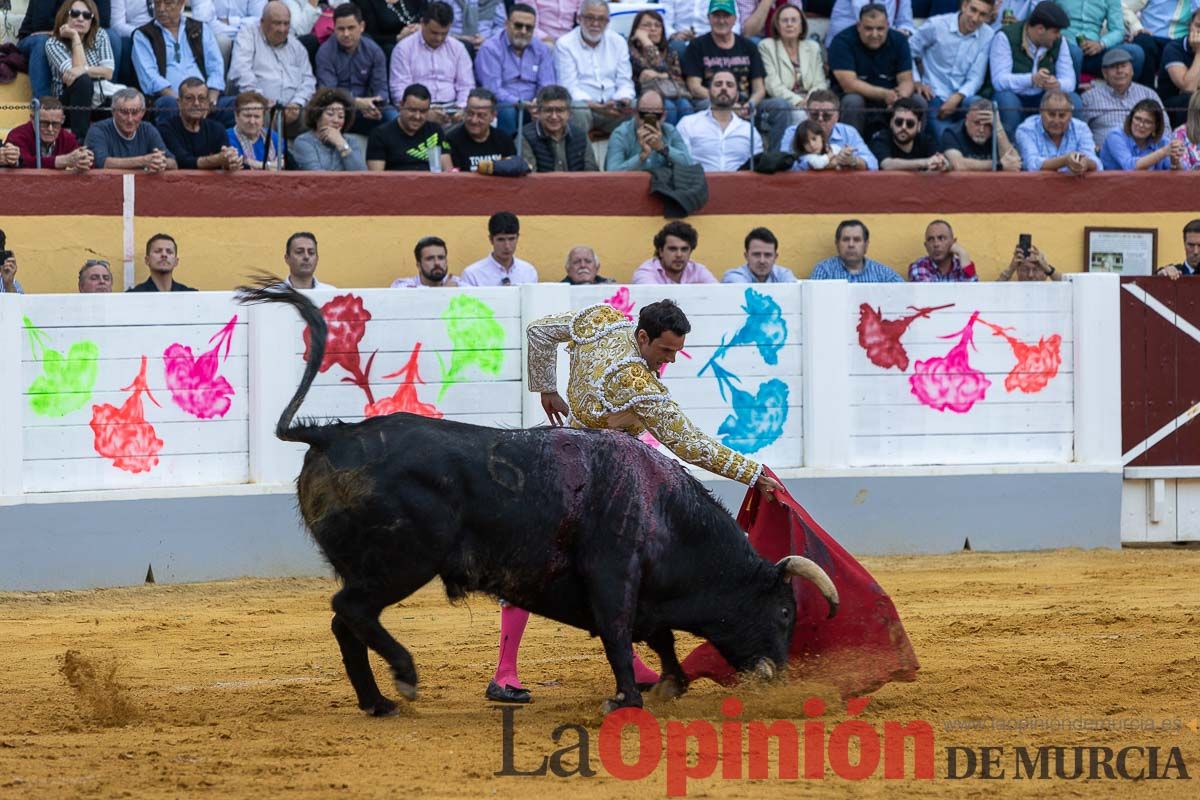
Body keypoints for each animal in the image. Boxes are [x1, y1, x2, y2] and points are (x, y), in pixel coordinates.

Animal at [234, 281, 835, 714]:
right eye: (785, 610)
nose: (779, 675)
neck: (663, 512)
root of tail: (331, 436)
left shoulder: (639, 591)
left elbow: (657, 637)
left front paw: (666, 684)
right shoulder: (612, 575)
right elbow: (620, 633)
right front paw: (628, 698)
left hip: (372, 565)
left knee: (347, 622)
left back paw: (377, 702)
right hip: (401, 562)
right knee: (352, 610)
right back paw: (404, 678)